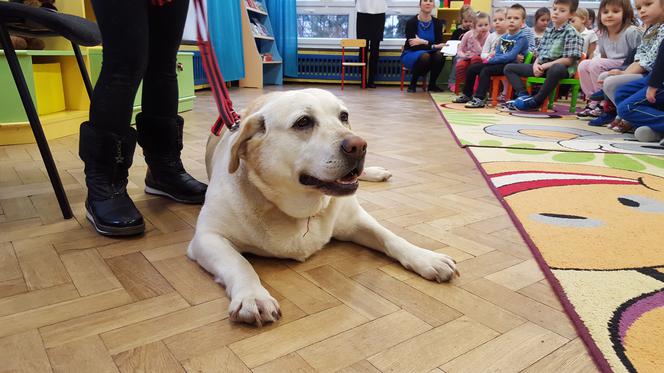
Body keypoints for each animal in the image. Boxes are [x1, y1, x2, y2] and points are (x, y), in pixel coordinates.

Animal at [187, 88, 456, 324]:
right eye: (303, 122)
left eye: (344, 116)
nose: (359, 145)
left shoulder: (357, 220)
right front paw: (253, 296)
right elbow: (240, 264)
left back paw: (376, 172)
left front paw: (426, 257)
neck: (303, 210)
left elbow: (390, 237)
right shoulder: (207, 237)